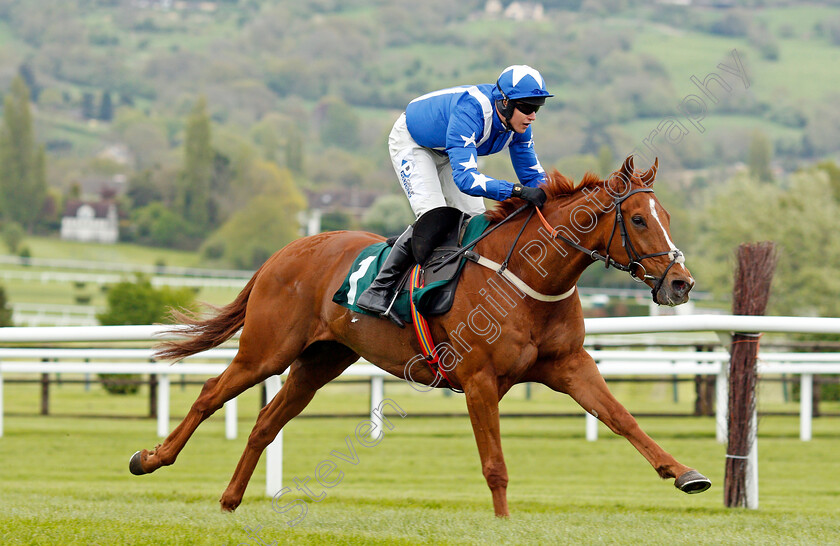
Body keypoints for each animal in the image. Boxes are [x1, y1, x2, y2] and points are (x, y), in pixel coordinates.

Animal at [130, 155, 708, 512]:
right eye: (638, 220)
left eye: (666, 214)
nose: (681, 282)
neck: (528, 278)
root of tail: (284, 251)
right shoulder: (478, 379)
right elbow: (495, 464)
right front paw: (503, 524)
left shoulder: (570, 366)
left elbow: (623, 420)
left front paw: (684, 473)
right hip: (267, 350)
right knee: (210, 394)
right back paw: (151, 459)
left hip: (320, 361)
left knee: (266, 423)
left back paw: (230, 499)